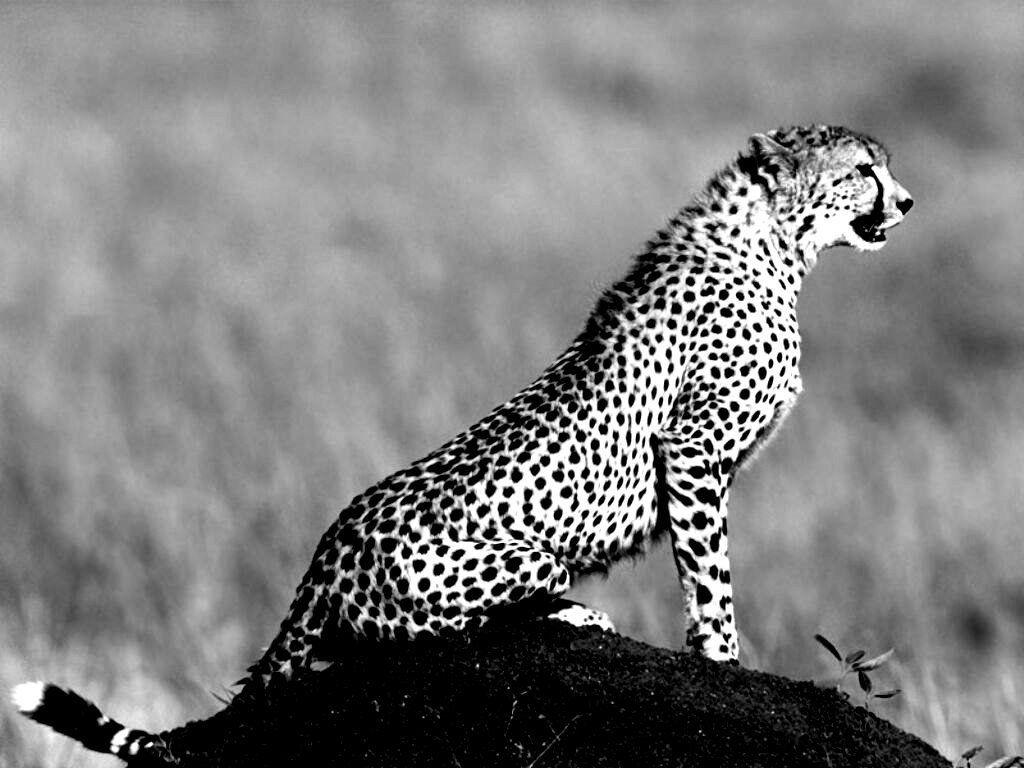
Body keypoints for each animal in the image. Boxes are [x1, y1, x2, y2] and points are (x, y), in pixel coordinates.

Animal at [13, 124, 912, 763]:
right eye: (862, 169)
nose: (906, 202)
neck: (774, 245)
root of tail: (328, 548)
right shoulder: (691, 449)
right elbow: (711, 575)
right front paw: (726, 664)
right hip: (511, 565)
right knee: (428, 634)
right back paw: (575, 612)